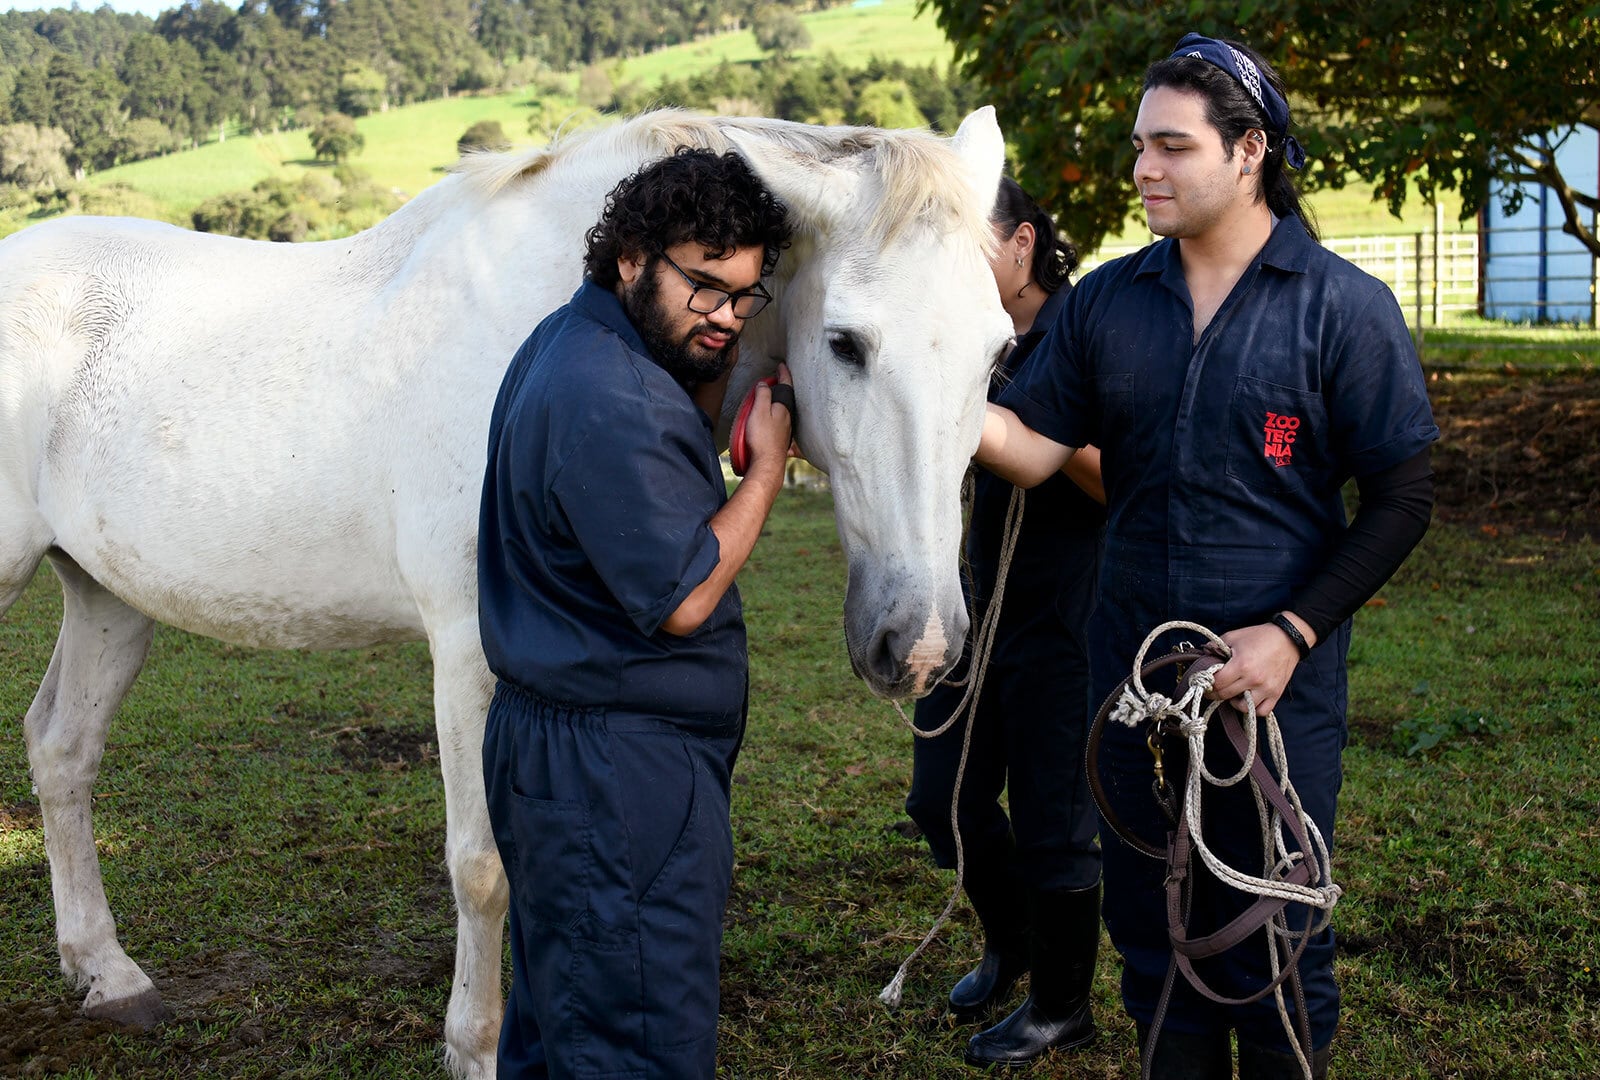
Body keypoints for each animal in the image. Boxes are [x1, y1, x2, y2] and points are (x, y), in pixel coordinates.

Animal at [0, 108, 1015, 1076]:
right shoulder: (466, 650)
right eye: (846, 344)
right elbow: (484, 867)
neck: (552, 316)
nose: (921, 642)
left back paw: (109, 975)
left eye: (998, 353)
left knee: (61, 750)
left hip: (108, 598)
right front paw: (477, 1047)